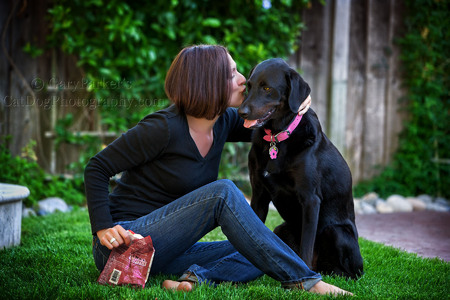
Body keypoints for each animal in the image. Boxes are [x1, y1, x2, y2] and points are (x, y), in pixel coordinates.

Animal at [239, 58, 362, 278]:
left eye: (267, 88)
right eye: (248, 86)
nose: (241, 112)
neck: (277, 139)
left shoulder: (310, 199)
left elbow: (306, 246)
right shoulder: (259, 194)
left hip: (336, 232)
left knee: (346, 271)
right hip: (282, 229)